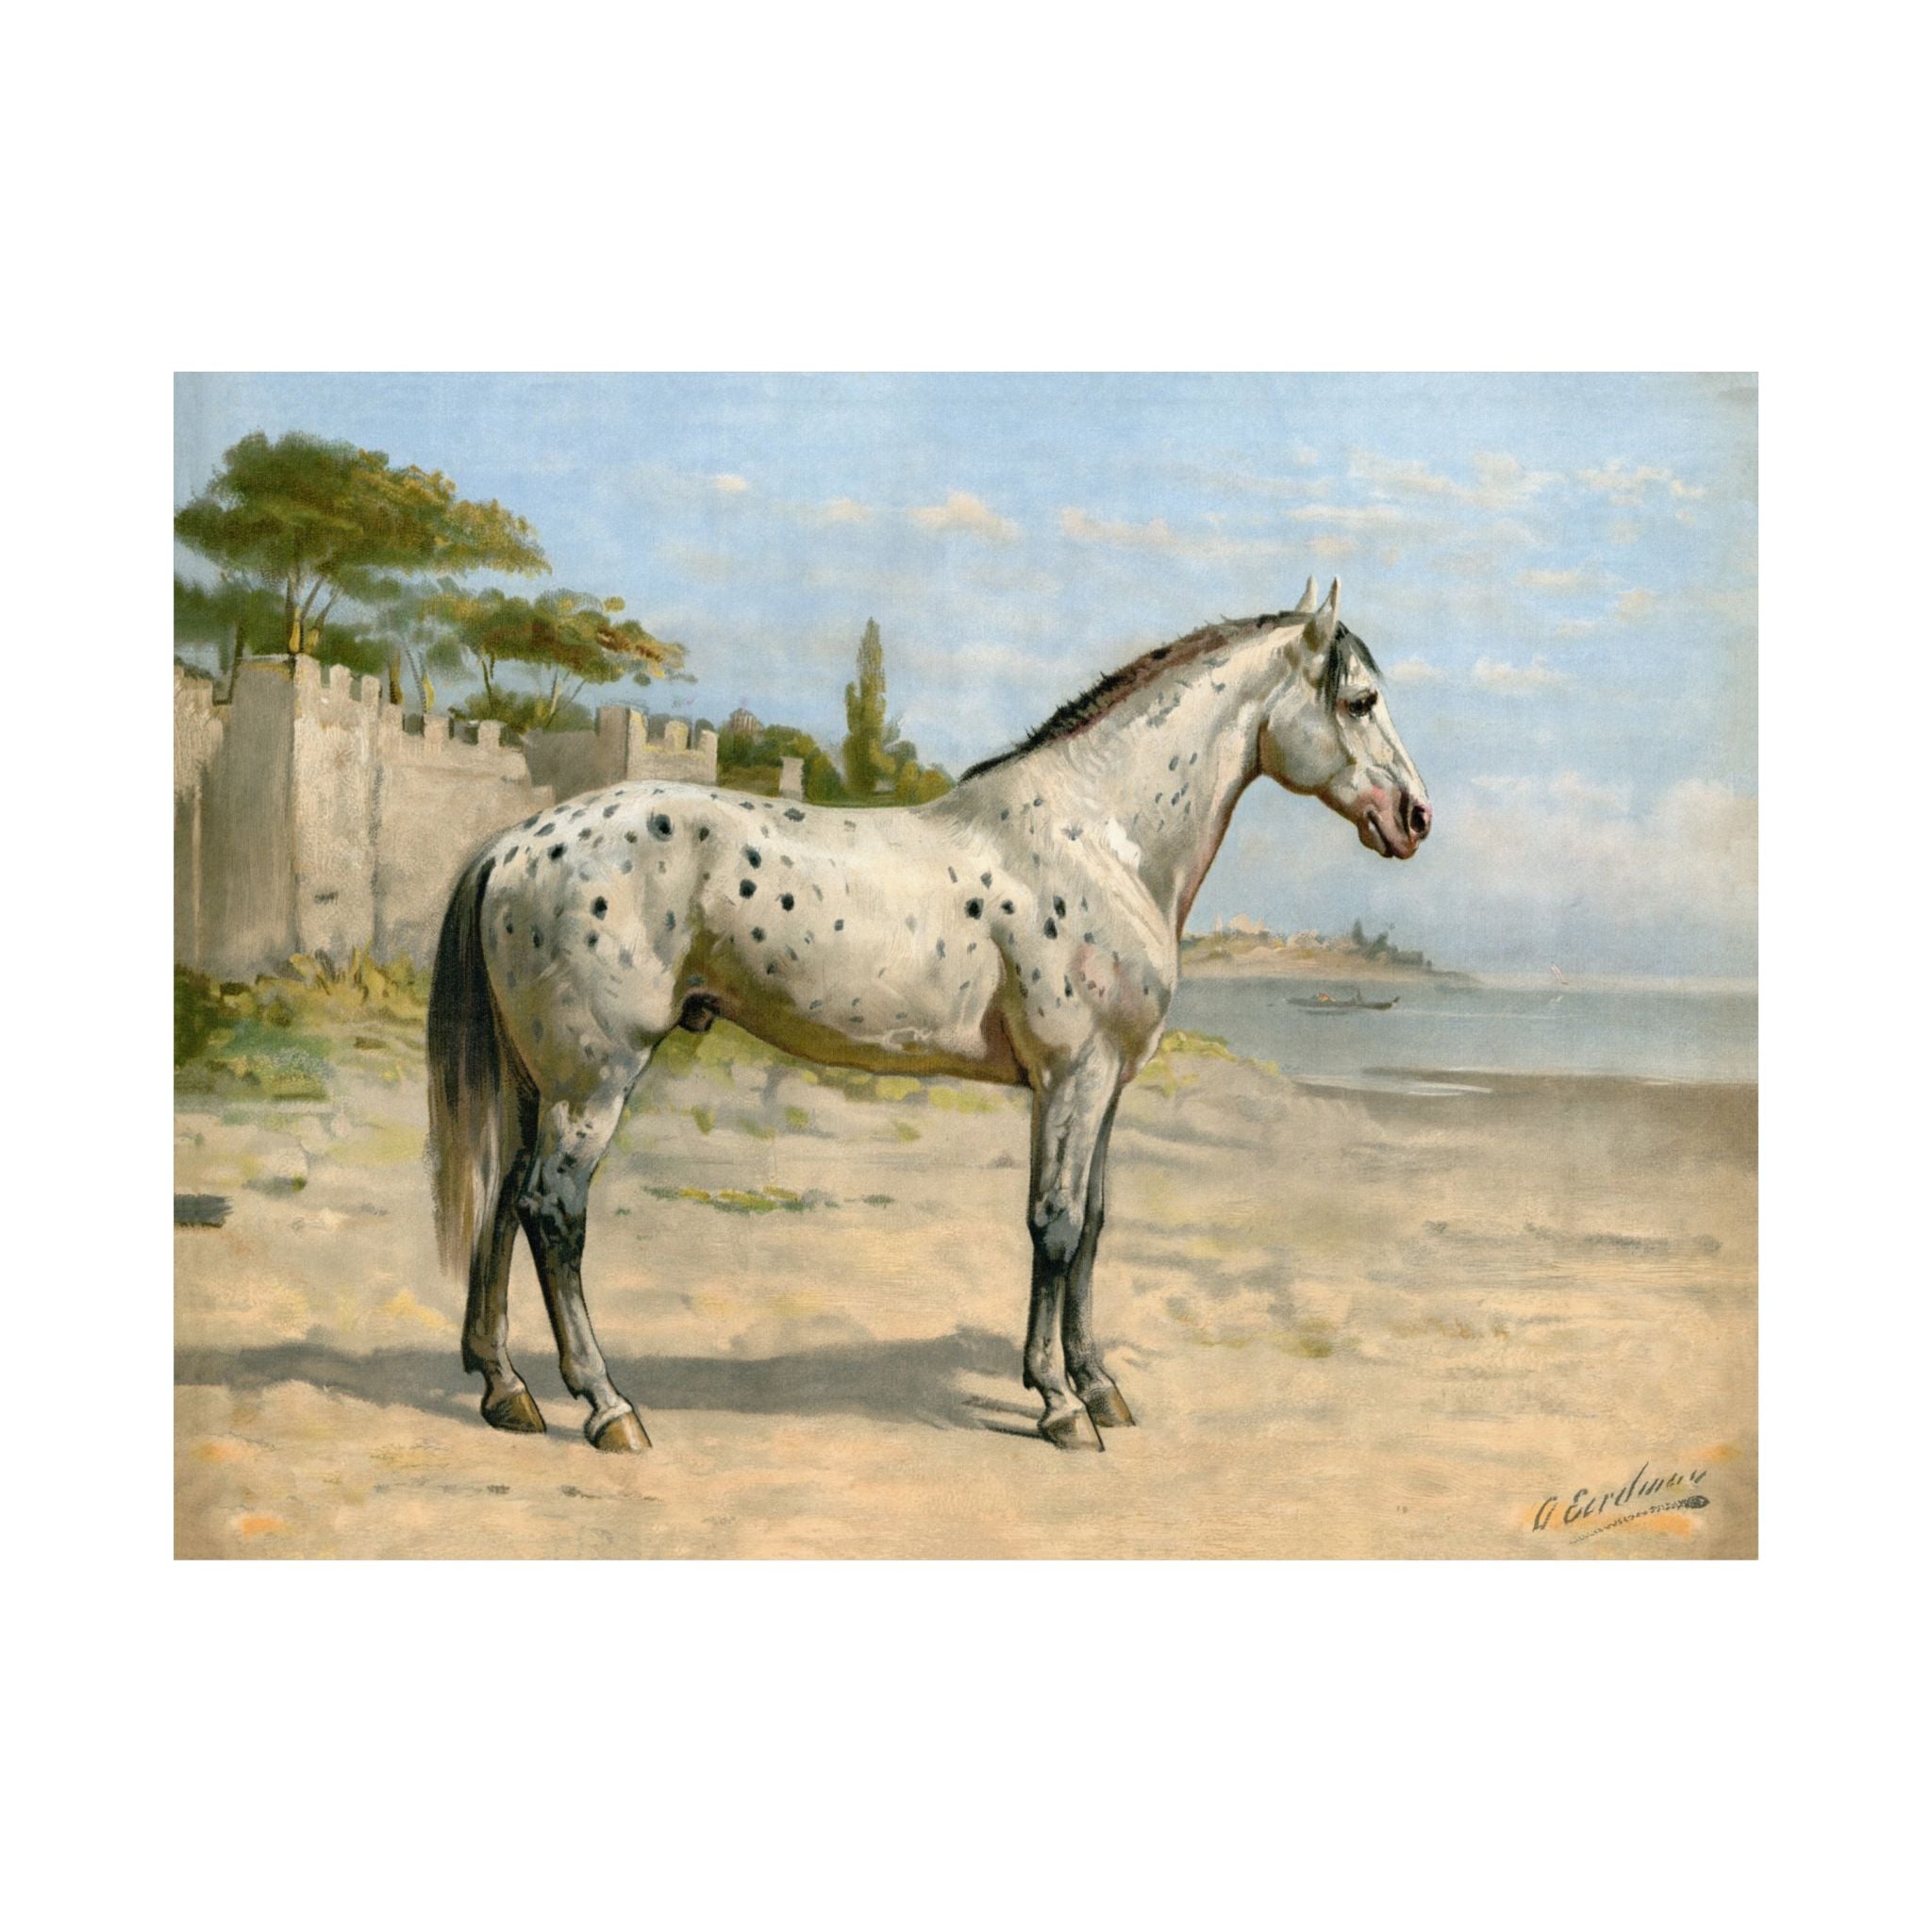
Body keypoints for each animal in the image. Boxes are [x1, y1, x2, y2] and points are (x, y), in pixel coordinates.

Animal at [426, 578, 1431, 1453]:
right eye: (1360, 701)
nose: (1414, 817)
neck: (1101, 836)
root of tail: (514, 843)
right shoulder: (1070, 1078)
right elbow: (1055, 1225)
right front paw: (1060, 1406)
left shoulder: (1105, 1084)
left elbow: (1094, 1226)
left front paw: (1100, 1385)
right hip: (593, 1079)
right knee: (553, 1209)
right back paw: (607, 1408)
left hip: (539, 1080)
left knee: (504, 1202)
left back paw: (506, 1390)